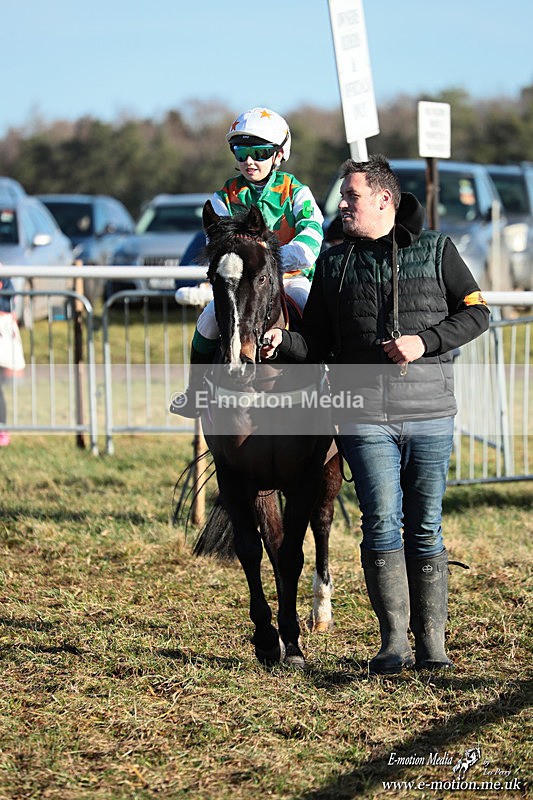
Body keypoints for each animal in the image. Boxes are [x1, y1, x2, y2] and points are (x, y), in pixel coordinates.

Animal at [192, 200, 342, 668]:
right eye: (213, 278)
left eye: (261, 277)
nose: (237, 360)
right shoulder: (240, 476)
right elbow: (254, 549)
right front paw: (265, 637)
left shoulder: (305, 473)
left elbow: (293, 552)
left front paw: (292, 641)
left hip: (331, 467)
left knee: (322, 524)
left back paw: (320, 611)